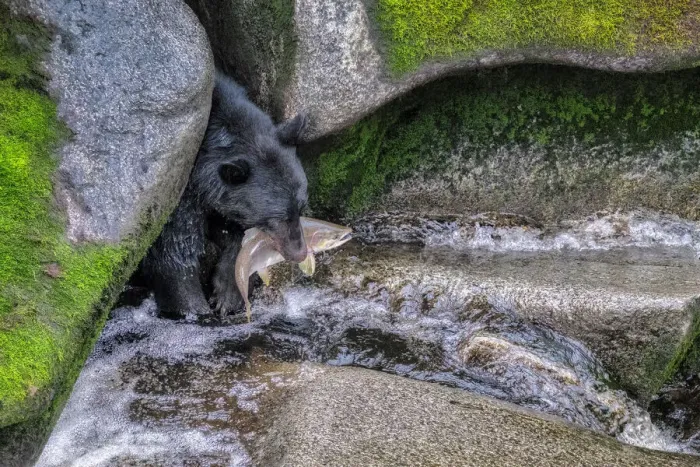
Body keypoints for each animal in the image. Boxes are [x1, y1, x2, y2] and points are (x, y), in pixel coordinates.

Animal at [142, 72, 309, 320]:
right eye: (277, 218)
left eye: (301, 207)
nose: (299, 253)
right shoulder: (177, 193)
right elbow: (175, 249)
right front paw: (192, 308)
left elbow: (234, 234)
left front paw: (228, 294)